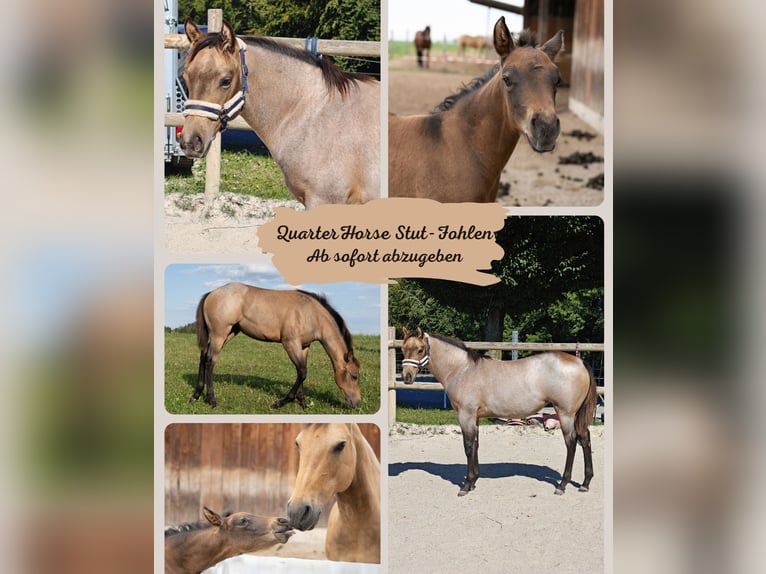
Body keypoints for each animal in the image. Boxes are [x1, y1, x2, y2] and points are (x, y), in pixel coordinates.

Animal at [194, 283, 361, 409]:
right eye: (354, 376)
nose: (357, 403)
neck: (311, 313)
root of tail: (211, 293)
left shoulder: (304, 346)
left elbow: (302, 371)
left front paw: (303, 403)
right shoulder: (290, 343)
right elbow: (302, 372)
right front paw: (281, 402)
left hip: (231, 332)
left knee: (204, 354)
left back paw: (196, 395)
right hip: (219, 334)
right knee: (210, 361)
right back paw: (212, 400)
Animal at [400, 327, 597, 496]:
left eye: (420, 349)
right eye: (403, 349)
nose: (406, 377)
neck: (462, 370)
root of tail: (579, 361)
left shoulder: (466, 415)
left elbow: (468, 446)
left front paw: (466, 485)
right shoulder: (475, 418)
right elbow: (476, 445)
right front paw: (474, 481)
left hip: (565, 413)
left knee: (571, 442)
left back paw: (562, 485)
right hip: (575, 415)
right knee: (585, 439)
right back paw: (585, 483)